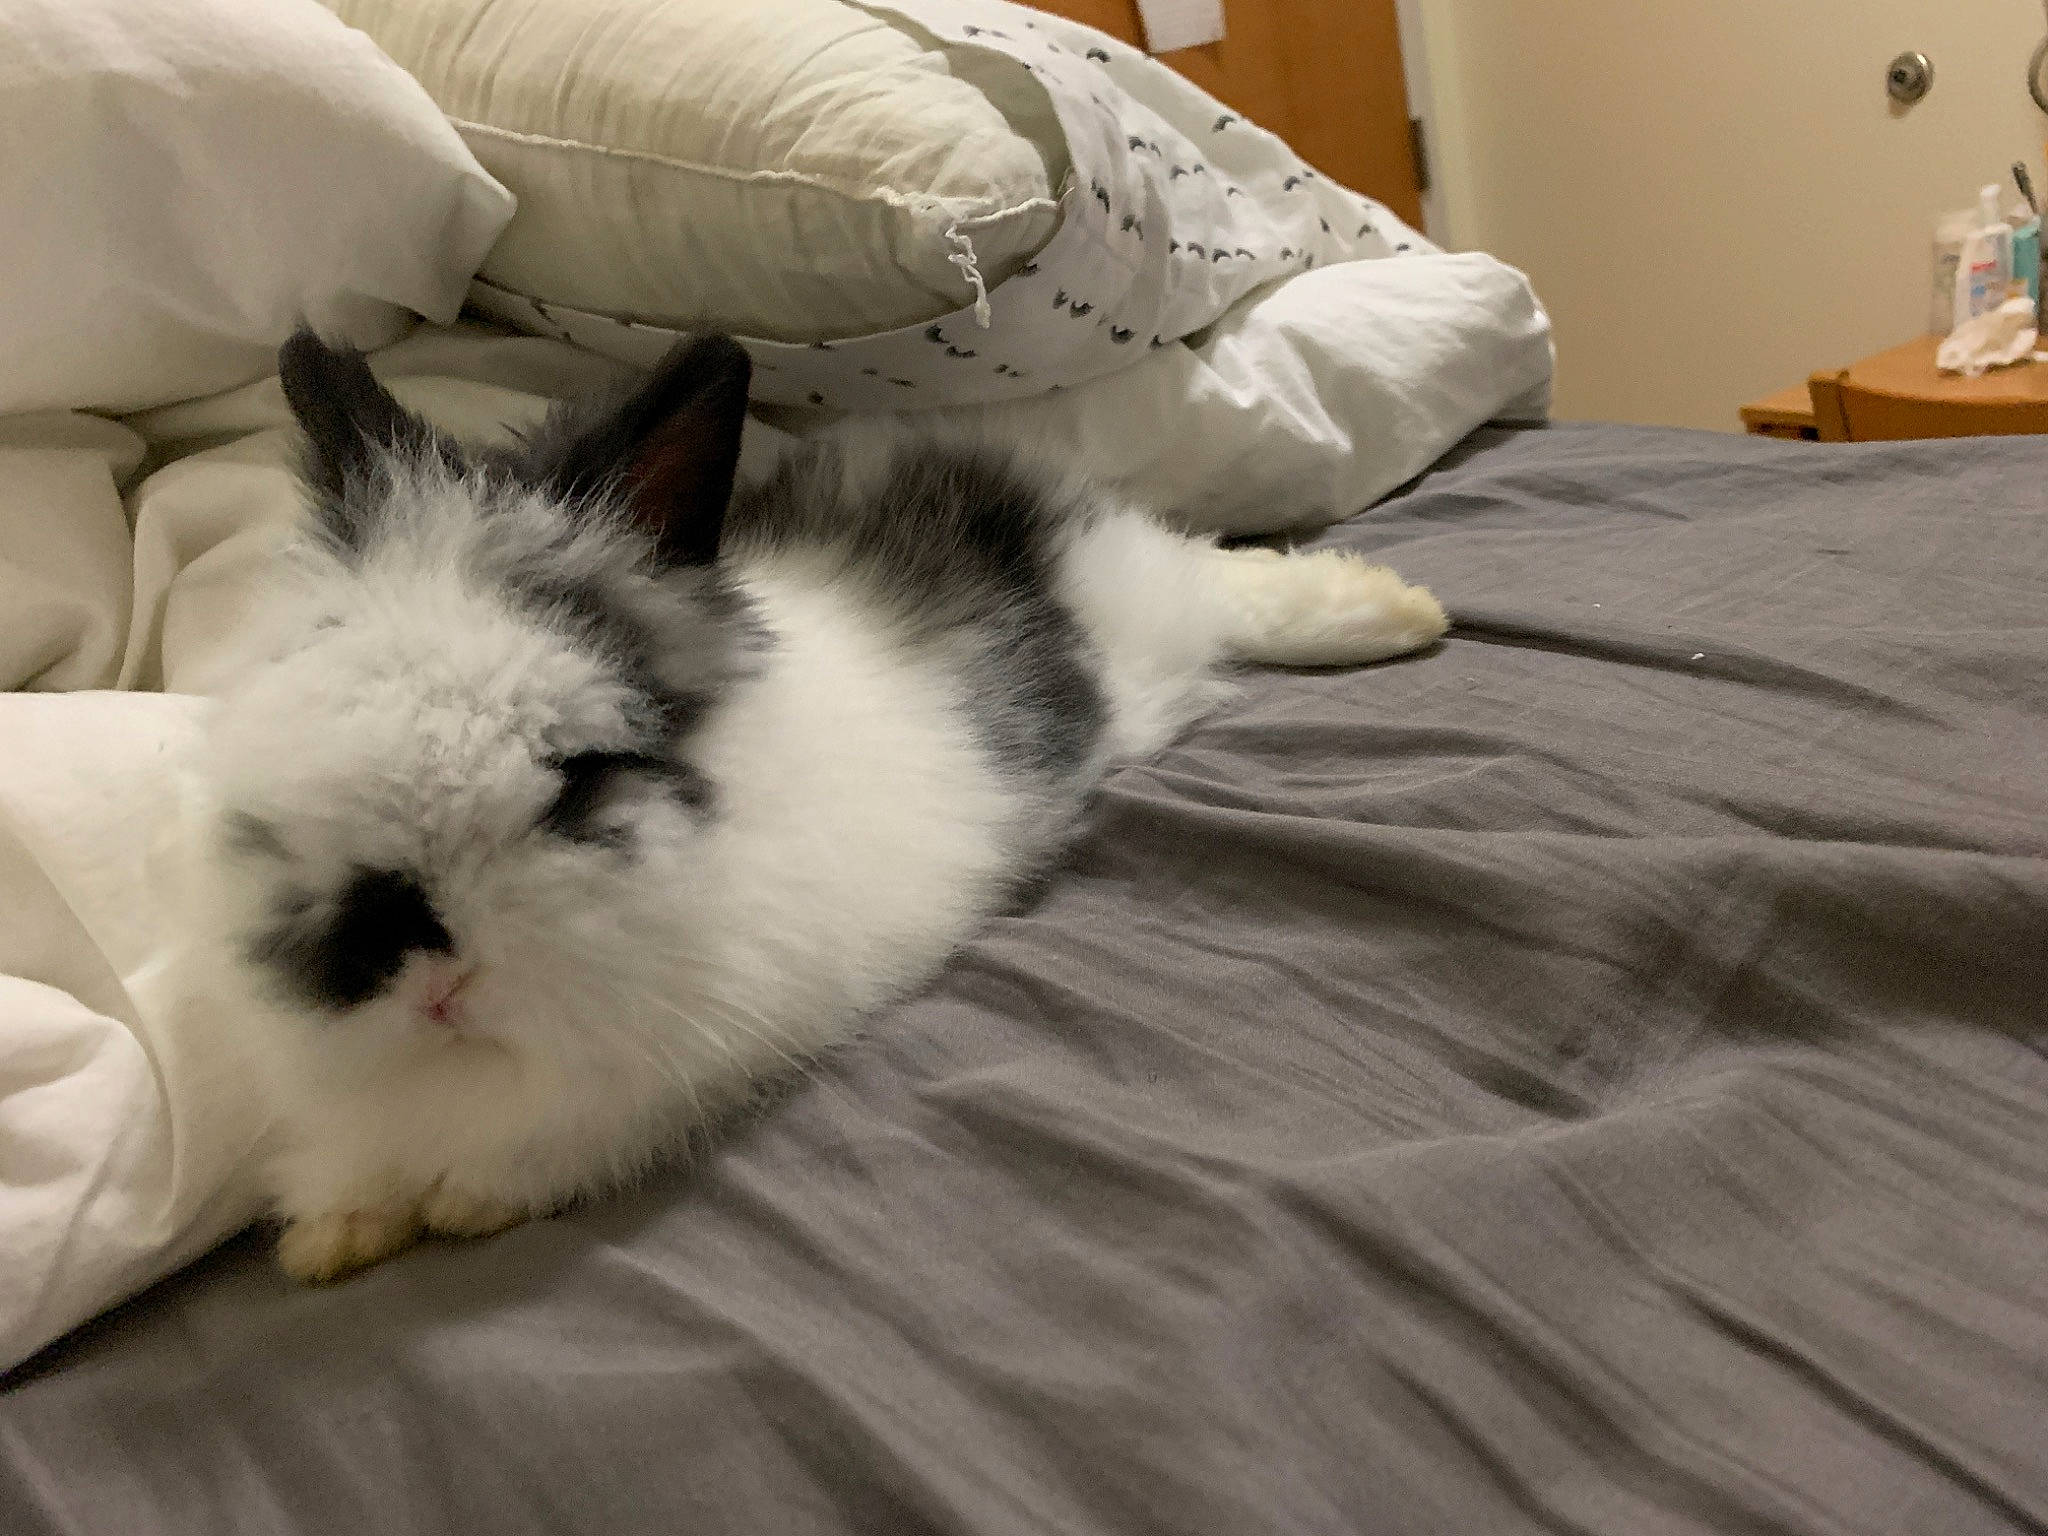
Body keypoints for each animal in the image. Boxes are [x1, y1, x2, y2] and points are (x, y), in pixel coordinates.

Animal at [190, 327, 1448, 1282]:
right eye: (279, 783)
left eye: (580, 771)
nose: (419, 970)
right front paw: (333, 1234)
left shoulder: (710, 1049)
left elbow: (562, 1138)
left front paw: (464, 1204)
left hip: (1139, 612)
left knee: (1225, 581)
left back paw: (1393, 614)